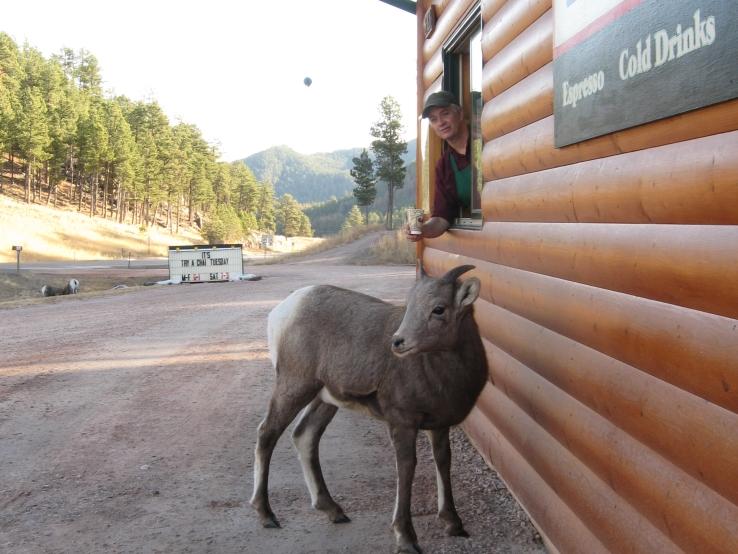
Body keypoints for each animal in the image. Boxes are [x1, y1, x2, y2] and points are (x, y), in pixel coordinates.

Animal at [252, 264, 488, 552]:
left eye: (439, 309)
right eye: (410, 305)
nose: (398, 342)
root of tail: (284, 310)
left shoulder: (440, 425)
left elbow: (443, 462)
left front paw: (454, 525)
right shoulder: (402, 421)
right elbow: (406, 467)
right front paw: (406, 538)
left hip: (324, 399)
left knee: (305, 436)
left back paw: (334, 511)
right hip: (294, 387)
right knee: (267, 434)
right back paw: (267, 515)